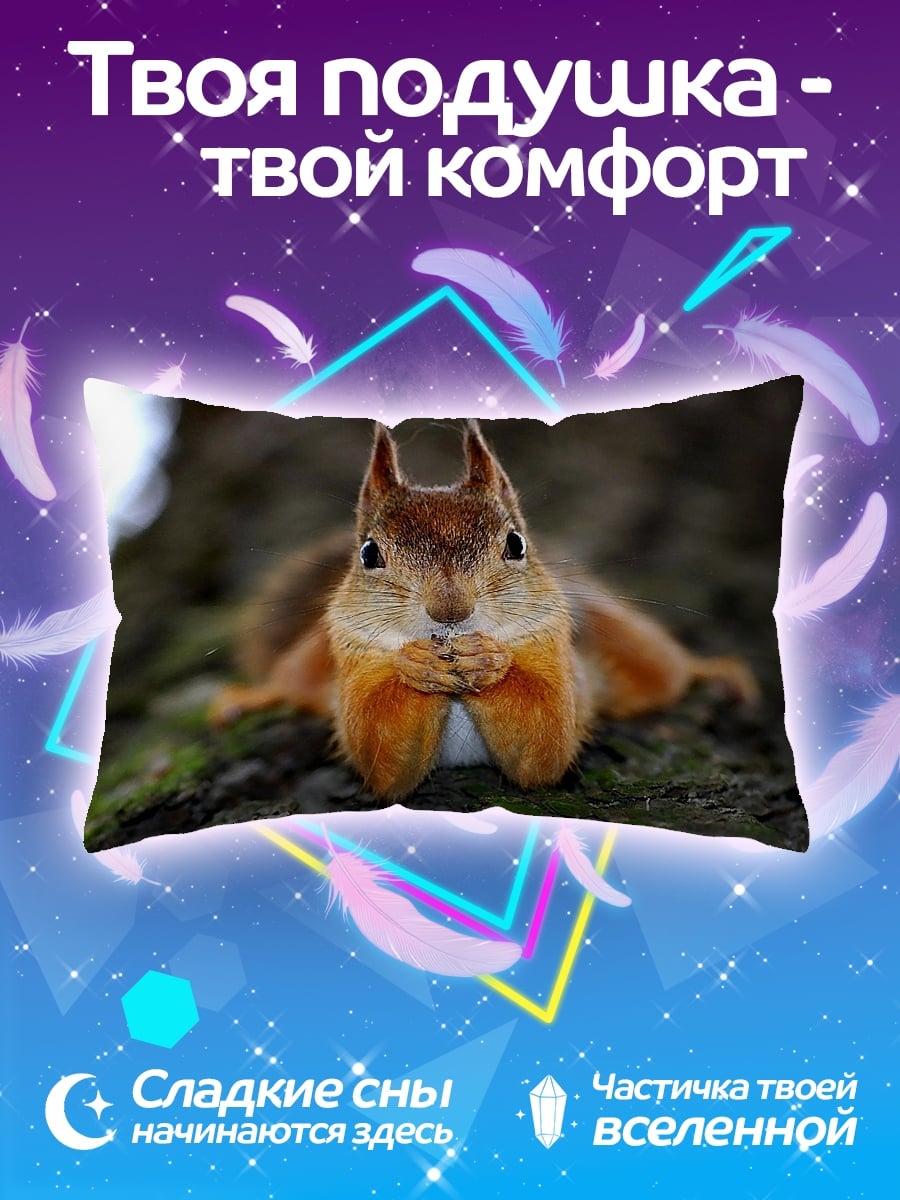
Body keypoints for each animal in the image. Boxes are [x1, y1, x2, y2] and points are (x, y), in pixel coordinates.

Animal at [212, 420, 757, 800]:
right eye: (368, 554)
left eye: (516, 544)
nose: (449, 610)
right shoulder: (354, 660)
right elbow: (382, 756)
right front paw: (415, 665)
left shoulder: (556, 656)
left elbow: (544, 743)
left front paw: (489, 662)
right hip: (312, 660)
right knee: (292, 682)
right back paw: (250, 697)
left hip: (624, 641)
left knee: (667, 671)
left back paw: (715, 671)